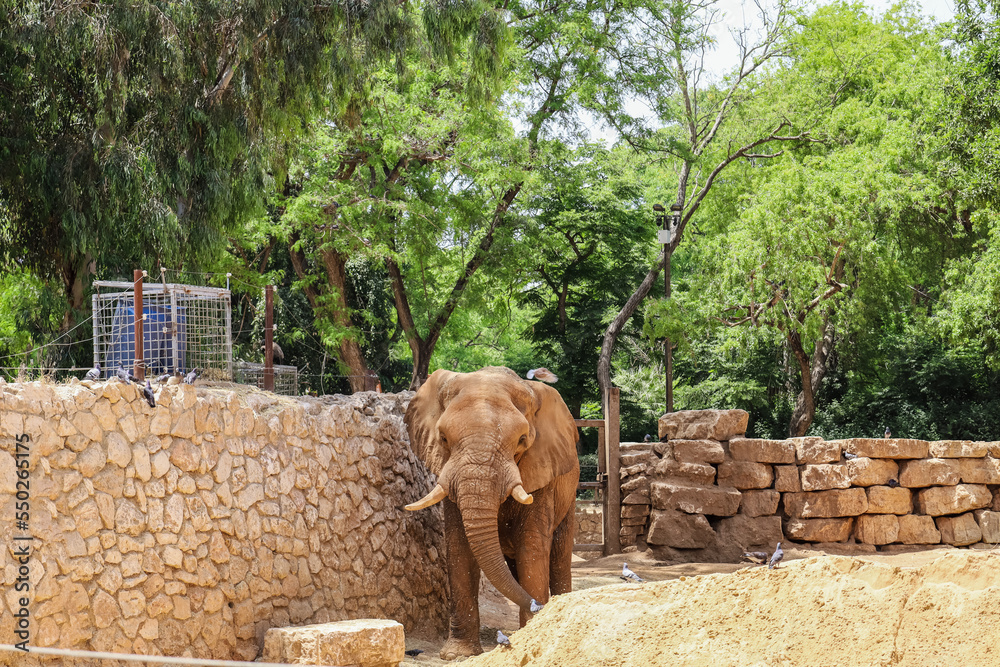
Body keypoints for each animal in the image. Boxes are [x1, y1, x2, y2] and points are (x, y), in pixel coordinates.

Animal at [404, 368, 584, 660]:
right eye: (443, 439)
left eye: (522, 440)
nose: (539, 605)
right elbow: (459, 548)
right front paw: (458, 654)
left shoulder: (541, 471)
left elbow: (532, 546)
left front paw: (532, 635)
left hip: (569, 494)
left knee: (558, 554)